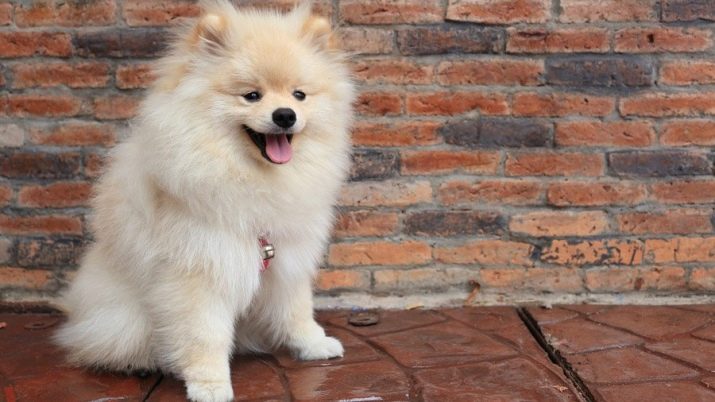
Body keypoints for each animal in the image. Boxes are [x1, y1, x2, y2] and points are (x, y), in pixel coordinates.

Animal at [54, 1, 355, 400]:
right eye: (252, 96)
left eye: (299, 95)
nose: (285, 115)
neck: (252, 177)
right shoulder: (201, 269)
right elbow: (204, 335)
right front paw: (209, 384)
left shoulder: (286, 256)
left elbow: (296, 309)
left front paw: (313, 344)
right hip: (125, 318)